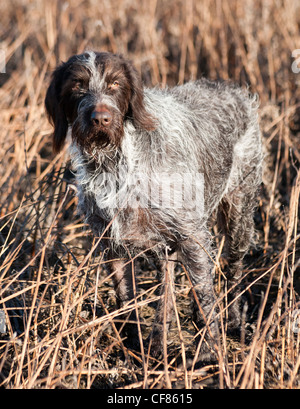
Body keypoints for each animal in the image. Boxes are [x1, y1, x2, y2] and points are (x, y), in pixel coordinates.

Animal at [45, 51, 262, 360]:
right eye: (78, 85)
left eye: (115, 84)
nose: (101, 119)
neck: (116, 164)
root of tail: (231, 87)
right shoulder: (113, 244)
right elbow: (126, 298)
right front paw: (131, 344)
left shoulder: (191, 234)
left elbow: (205, 295)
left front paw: (209, 352)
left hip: (238, 215)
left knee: (232, 270)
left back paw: (232, 321)